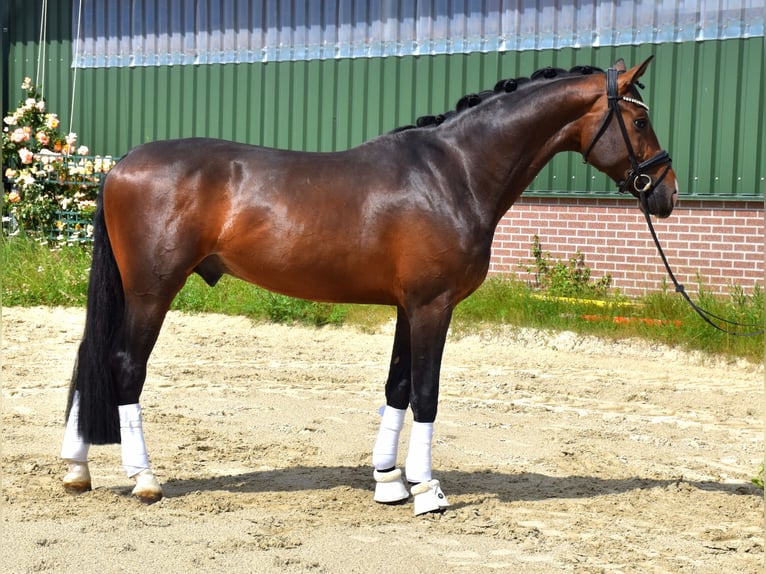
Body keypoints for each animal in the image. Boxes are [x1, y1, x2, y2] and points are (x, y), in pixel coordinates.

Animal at [61, 57, 677, 514]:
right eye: (639, 122)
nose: (665, 194)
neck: (453, 173)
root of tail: (119, 166)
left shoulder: (410, 306)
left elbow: (397, 388)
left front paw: (388, 482)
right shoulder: (433, 306)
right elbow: (426, 392)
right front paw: (427, 490)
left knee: (88, 356)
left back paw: (77, 469)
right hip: (151, 292)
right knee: (123, 366)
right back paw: (144, 478)